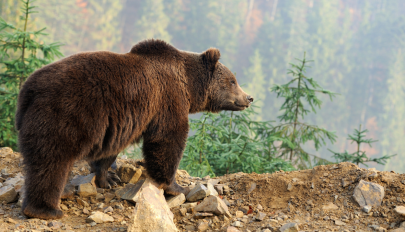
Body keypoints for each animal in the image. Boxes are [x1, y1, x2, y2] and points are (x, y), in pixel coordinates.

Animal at [18, 39, 252, 218]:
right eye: (232, 80)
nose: (248, 98)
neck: (188, 85)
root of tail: (28, 89)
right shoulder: (167, 99)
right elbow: (167, 140)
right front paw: (176, 186)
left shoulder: (119, 122)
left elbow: (109, 151)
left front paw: (108, 178)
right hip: (65, 115)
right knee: (51, 162)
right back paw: (45, 209)